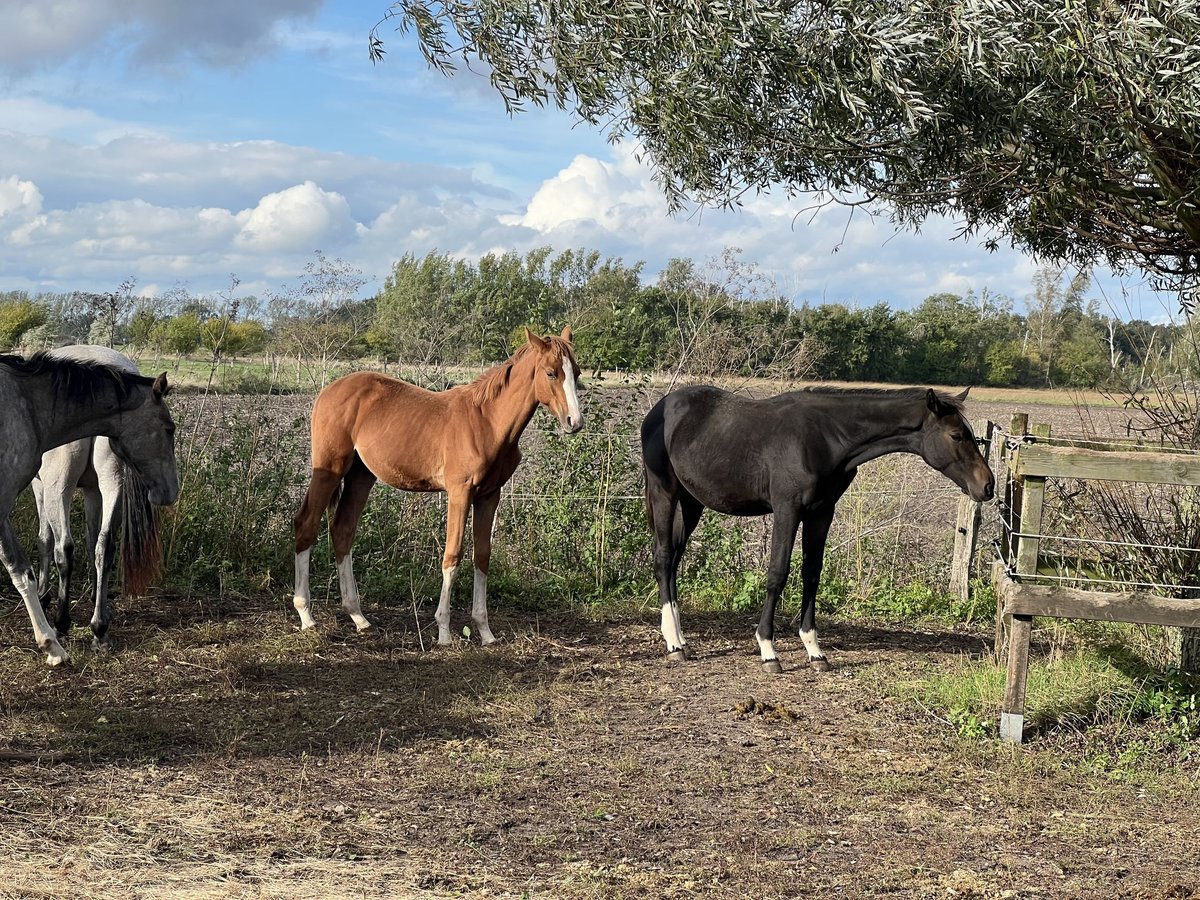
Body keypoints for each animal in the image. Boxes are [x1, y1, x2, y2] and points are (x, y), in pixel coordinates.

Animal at [295, 328, 585, 643]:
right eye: (550, 373)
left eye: (577, 372)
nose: (575, 422)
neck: (487, 422)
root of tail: (328, 391)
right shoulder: (460, 493)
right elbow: (452, 556)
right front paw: (444, 631)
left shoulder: (489, 496)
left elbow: (482, 556)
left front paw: (485, 631)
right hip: (330, 470)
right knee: (306, 525)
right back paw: (306, 615)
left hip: (361, 476)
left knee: (343, 531)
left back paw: (358, 617)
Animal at [643, 384, 998, 672]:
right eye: (956, 435)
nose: (988, 486)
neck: (824, 438)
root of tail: (661, 407)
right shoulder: (787, 510)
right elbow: (777, 573)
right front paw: (768, 650)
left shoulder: (821, 513)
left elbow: (812, 574)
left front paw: (815, 650)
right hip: (665, 492)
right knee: (663, 557)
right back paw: (673, 645)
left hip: (692, 502)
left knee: (673, 559)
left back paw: (680, 638)